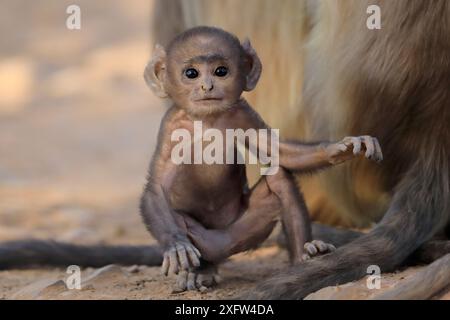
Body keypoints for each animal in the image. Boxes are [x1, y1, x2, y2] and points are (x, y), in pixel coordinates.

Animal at [141, 26, 384, 292]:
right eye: (191, 73)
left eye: (221, 71)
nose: (207, 86)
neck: (207, 120)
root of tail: (224, 247)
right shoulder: (171, 127)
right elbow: (157, 187)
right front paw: (175, 245)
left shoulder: (243, 114)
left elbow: (278, 152)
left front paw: (341, 149)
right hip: (204, 239)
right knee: (185, 227)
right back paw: (199, 271)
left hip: (244, 229)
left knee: (279, 178)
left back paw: (305, 256)